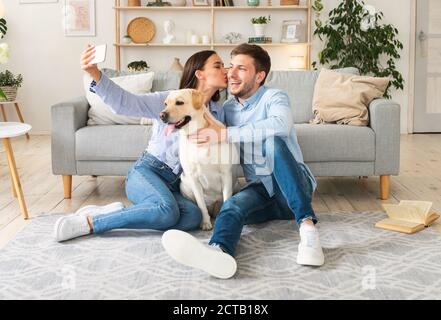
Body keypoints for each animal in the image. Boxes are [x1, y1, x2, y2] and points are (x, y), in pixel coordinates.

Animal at [160, 89, 239, 231]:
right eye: (165, 104)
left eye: (179, 102)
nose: (161, 115)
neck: (197, 134)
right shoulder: (193, 178)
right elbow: (201, 205)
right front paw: (206, 223)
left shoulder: (226, 175)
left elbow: (226, 199)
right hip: (184, 185)